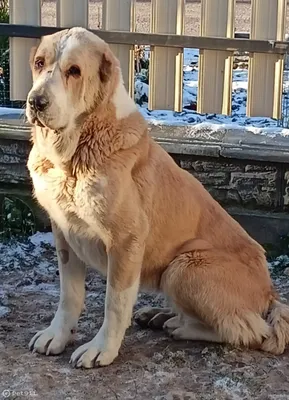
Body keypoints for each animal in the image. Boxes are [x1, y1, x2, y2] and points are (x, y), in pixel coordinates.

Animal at [25, 26, 288, 368]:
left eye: (74, 71)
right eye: (39, 63)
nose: (36, 101)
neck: (74, 153)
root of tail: (270, 293)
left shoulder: (125, 241)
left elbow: (114, 304)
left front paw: (102, 349)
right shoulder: (64, 234)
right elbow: (69, 295)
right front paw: (57, 335)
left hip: (184, 267)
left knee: (249, 330)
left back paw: (178, 325)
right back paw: (160, 315)